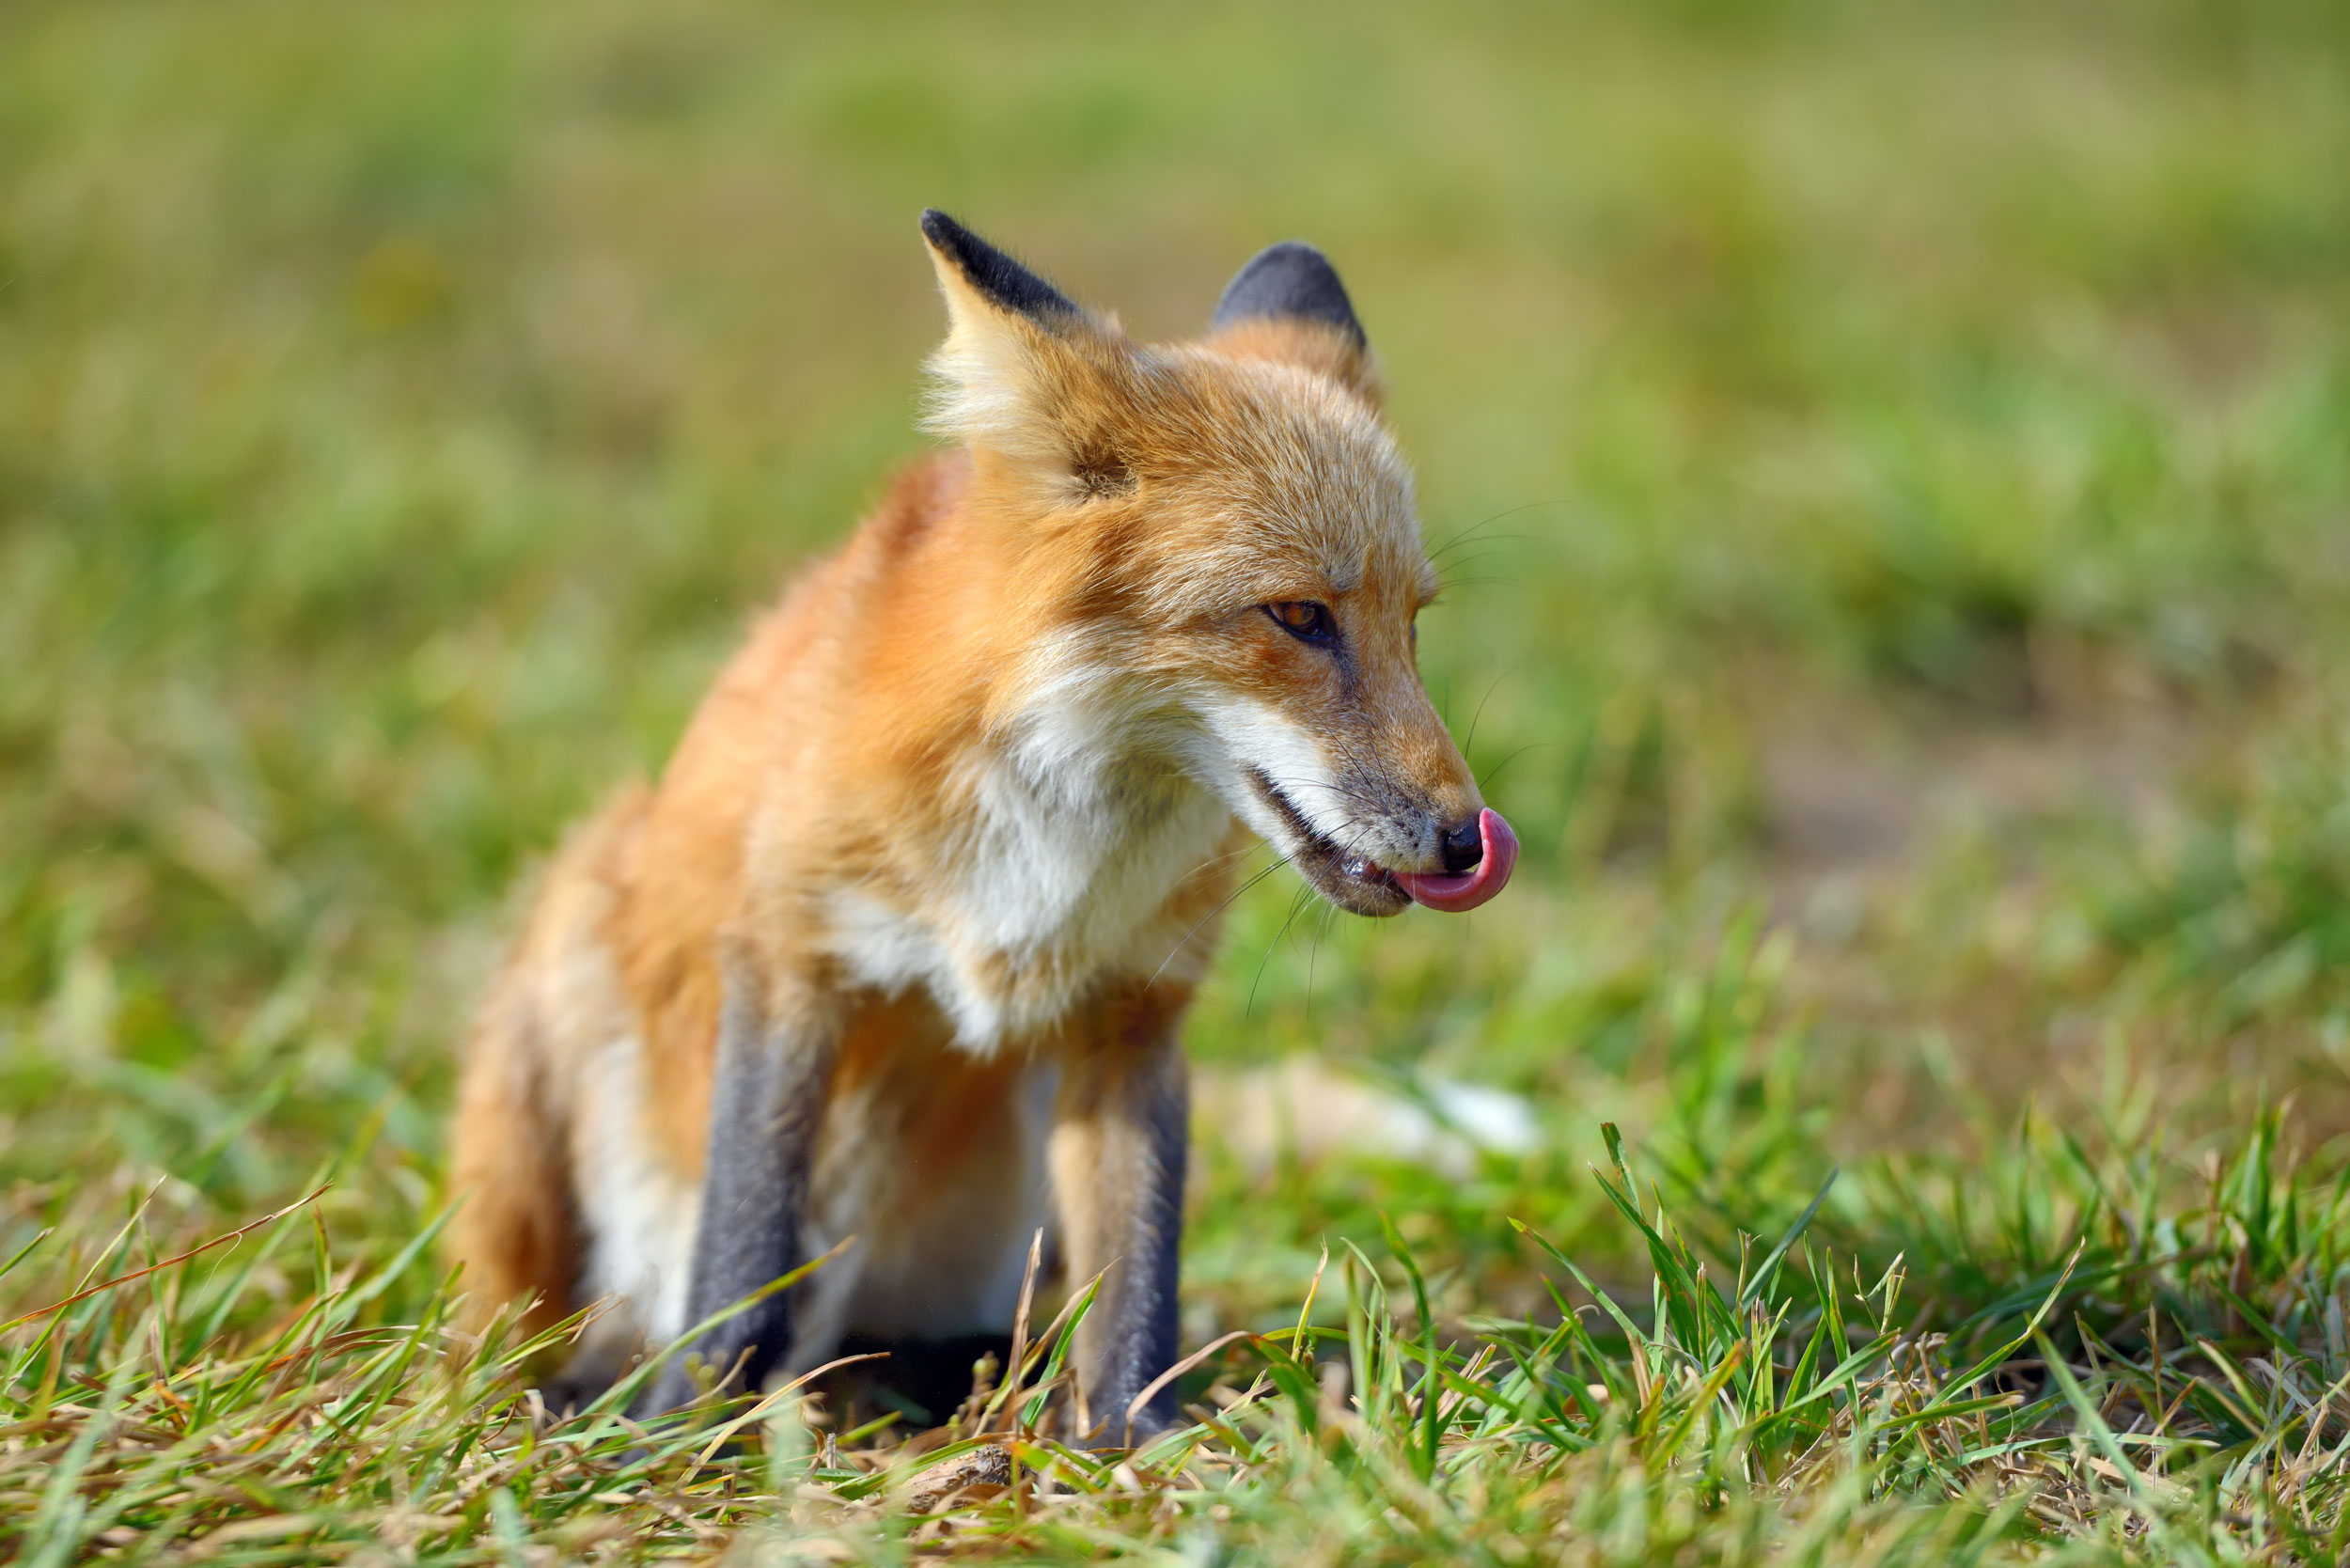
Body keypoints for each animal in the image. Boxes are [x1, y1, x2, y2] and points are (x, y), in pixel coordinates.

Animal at [448, 214, 1523, 1438]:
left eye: (1412, 624)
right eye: (1297, 616)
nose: (1467, 843)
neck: (1050, 842)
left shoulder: (1131, 1014)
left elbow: (1136, 1281)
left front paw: (1131, 1443)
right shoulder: (788, 955)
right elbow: (740, 1261)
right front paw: (685, 1428)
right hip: (567, 953)